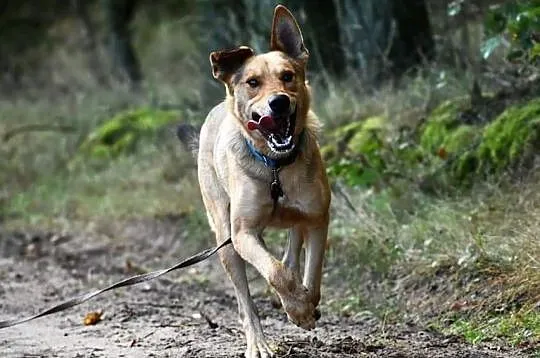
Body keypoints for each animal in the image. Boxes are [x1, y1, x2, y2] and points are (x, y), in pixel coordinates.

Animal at [180, 5, 330, 358]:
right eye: (252, 82)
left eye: (288, 76)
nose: (279, 102)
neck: (274, 167)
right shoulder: (243, 233)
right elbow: (275, 272)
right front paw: (298, 308)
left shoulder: (318, 217)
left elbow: (311, 270)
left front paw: (305, 303)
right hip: (225, 241)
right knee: (246, 300)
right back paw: (258, 342)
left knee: (291, 249)